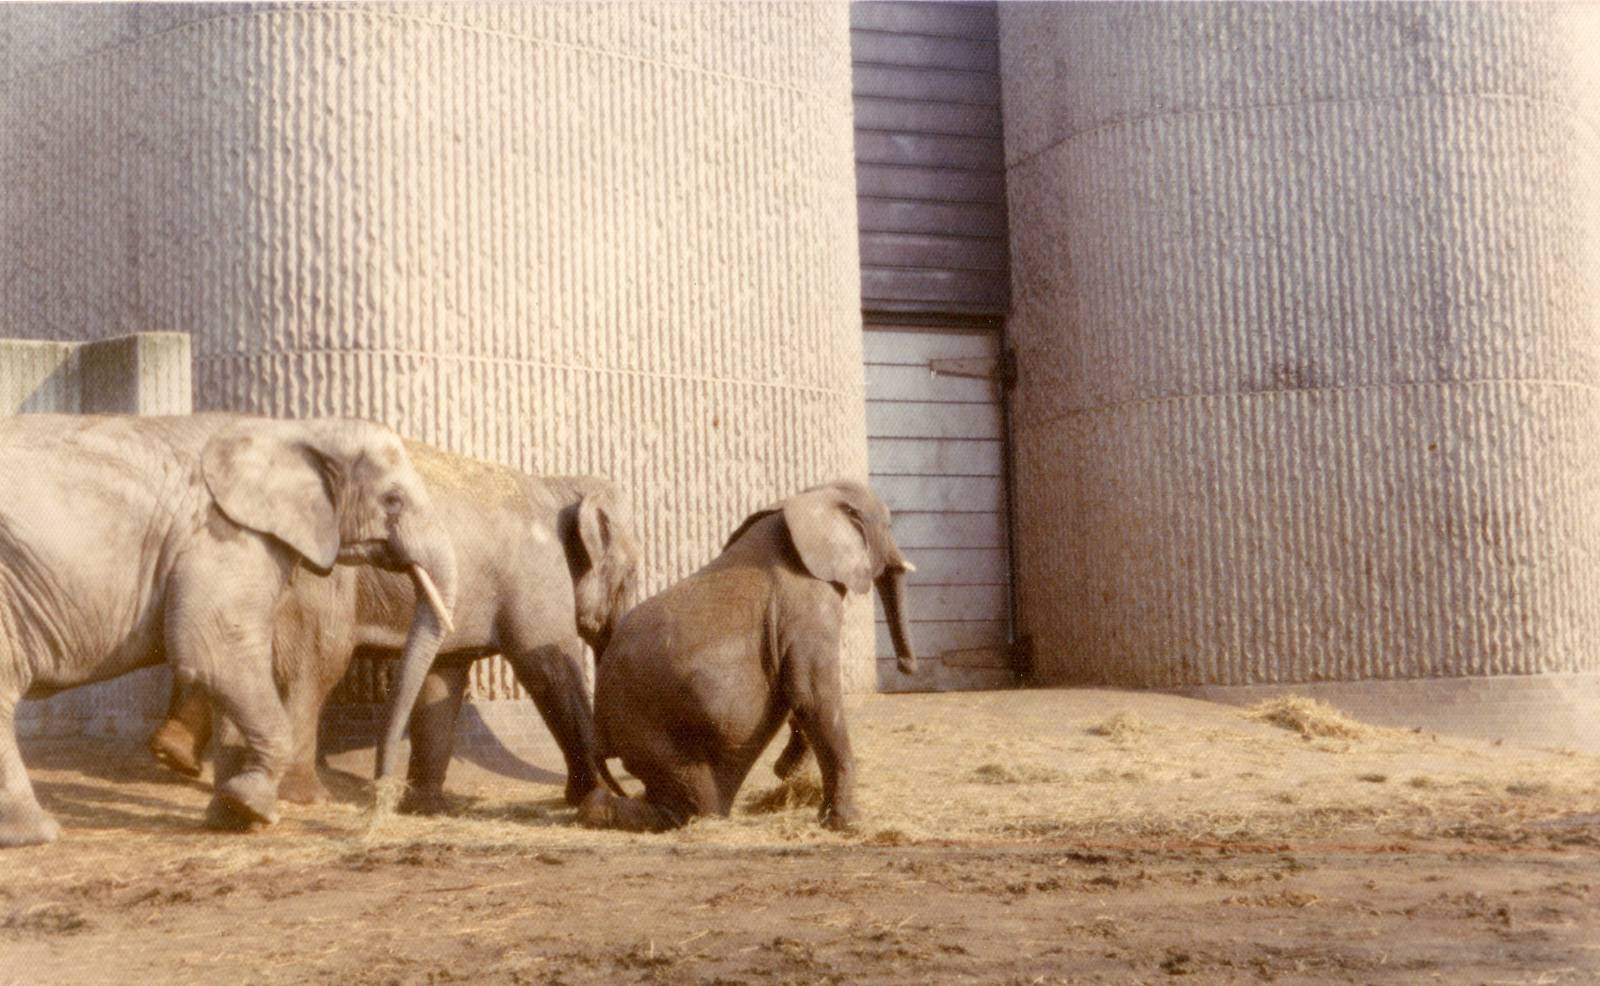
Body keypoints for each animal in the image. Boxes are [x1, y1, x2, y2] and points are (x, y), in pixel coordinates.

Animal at [0, 414, 458, 847]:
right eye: (393, 500)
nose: (374, 818)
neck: (294, 429)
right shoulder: (224, 537)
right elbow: (215, 655)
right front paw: (251, 808)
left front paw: (230, 815)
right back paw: (39, 833)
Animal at [147, 442, 641, 813]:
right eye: (633, 574)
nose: (621, 778)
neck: (558, 485)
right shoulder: (536, 579)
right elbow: (548, 669)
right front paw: (594, 799)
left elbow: (443, 681)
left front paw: (427, 807)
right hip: (317, 583)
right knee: (316, 663)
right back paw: (302, 797)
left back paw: (197, 769)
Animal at [577, 479, 917, 833]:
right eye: (888, 526)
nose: (907, 666)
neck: (810, 499)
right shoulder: (809, 608)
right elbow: (812, 695)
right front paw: (846, 824)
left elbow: (799, 694)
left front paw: (793, 775)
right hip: (653, 727)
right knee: (696, 804)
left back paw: (595, 811)